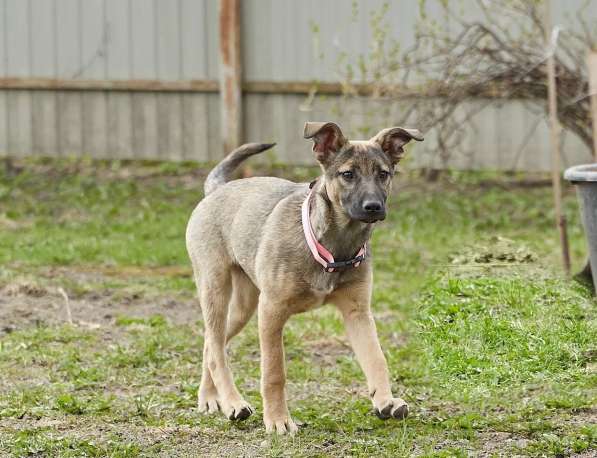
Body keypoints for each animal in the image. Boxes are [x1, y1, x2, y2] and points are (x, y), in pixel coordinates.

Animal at [186, 121, 424, 432]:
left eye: (383, 174)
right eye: (348, 174)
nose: (373, 206)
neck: (334, 245)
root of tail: (216, 189)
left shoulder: (358, 312)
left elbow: (376, 358)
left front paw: (386, 400)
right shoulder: (271, 311)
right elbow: (274, 372)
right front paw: (278, 420)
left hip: (244, 306)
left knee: (210, 346)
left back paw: (210, 398)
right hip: (215, 287)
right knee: (216, 348)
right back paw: (233, 403)